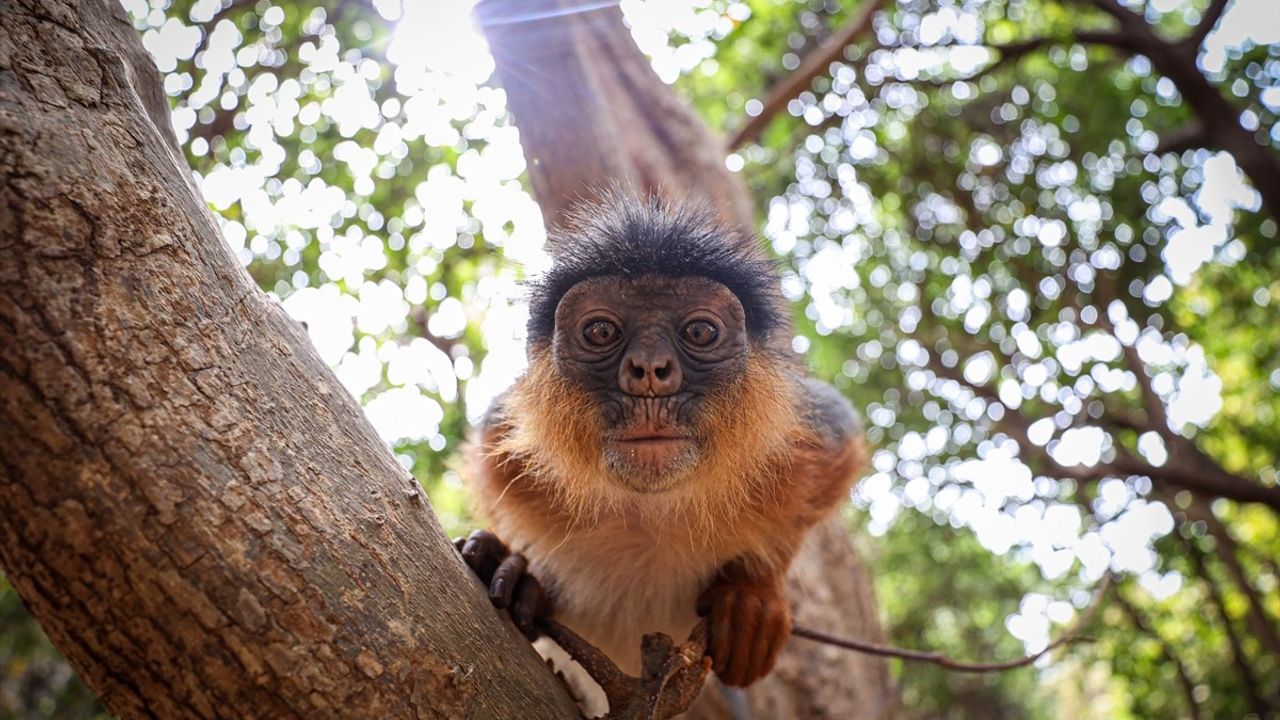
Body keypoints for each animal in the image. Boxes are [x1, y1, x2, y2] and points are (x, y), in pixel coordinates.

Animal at [455, 192, 865, 707]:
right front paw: (517, 565)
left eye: (700, 333)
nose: (649, 369)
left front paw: (753, 591)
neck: (650, 513)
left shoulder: (809, 435)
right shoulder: (505, 439)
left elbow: (840, 442)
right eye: (600, 333)